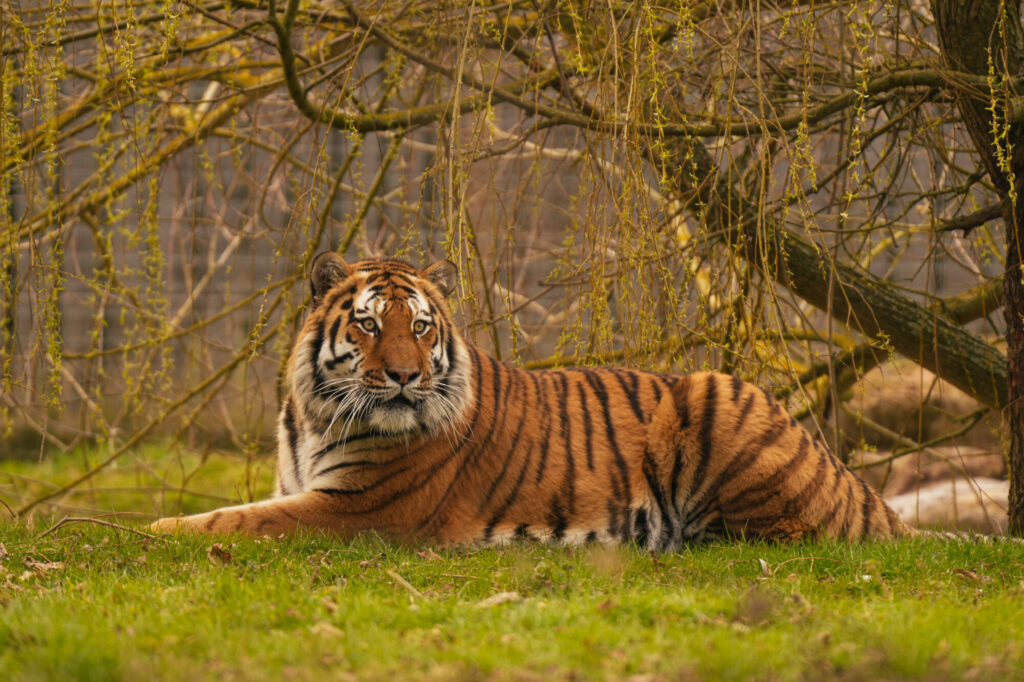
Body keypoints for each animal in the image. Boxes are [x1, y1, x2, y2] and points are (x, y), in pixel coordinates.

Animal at [150, 252, 909, 549]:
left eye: (418, 326)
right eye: (367, 324)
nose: (403, 377)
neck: (313, 415)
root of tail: (859, 488)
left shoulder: (356, 509)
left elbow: (232, 520)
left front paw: (144, 528)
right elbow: (237, 511)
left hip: (718, 396)